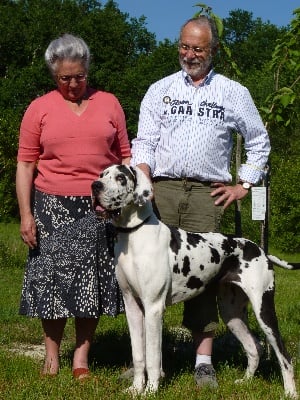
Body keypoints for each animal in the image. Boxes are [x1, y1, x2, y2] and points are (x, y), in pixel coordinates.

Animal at [92, 163, 300, 396]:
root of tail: (260, 250)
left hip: (264, 310)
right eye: (102, 174)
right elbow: (138, 356)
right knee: (254, 347)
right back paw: (246, 381)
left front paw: (151, 391)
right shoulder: (132, 307)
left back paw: (290, 392)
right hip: (232, 314)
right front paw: (136, 389)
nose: (95, 185)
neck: (134, 233)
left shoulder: (153, 308)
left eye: (120, 177)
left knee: (284, 355)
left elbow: (153, 358)